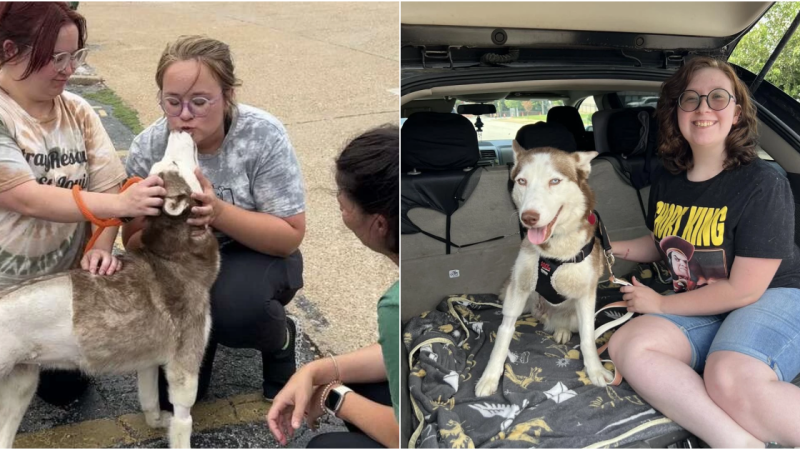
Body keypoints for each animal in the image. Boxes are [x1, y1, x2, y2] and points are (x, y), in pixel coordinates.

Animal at [0, 130, 219, 446]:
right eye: (174, 163)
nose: (179, 129)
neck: (172, 257)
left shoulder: (148, 360)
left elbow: (149, 401)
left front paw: (156, 422)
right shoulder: (185, 364)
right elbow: (183, 421)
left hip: (22, 382)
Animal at [476, 142, 612, 396]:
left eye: (555, 181)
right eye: (522, 181)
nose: (529, 217)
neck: (554, 252)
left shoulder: (586, 294)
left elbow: (588, 337)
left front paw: (595, 370)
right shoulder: (519, 288)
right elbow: (504, 332)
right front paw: (490, 376)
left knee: (569, 323)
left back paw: (562, 330)